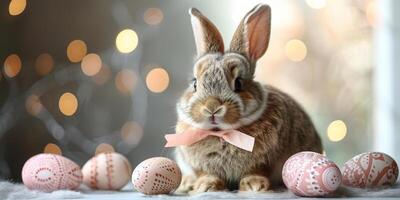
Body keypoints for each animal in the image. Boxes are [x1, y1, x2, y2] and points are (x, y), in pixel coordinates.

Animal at [174, 3, 322, 193]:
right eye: (194, 84)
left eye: (238, 83)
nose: (212, 107)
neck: (223, 134)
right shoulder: (199, 165)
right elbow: (206, 174)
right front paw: (205, 186)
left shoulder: (265, 161)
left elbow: (256, 171)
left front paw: (255, 185)